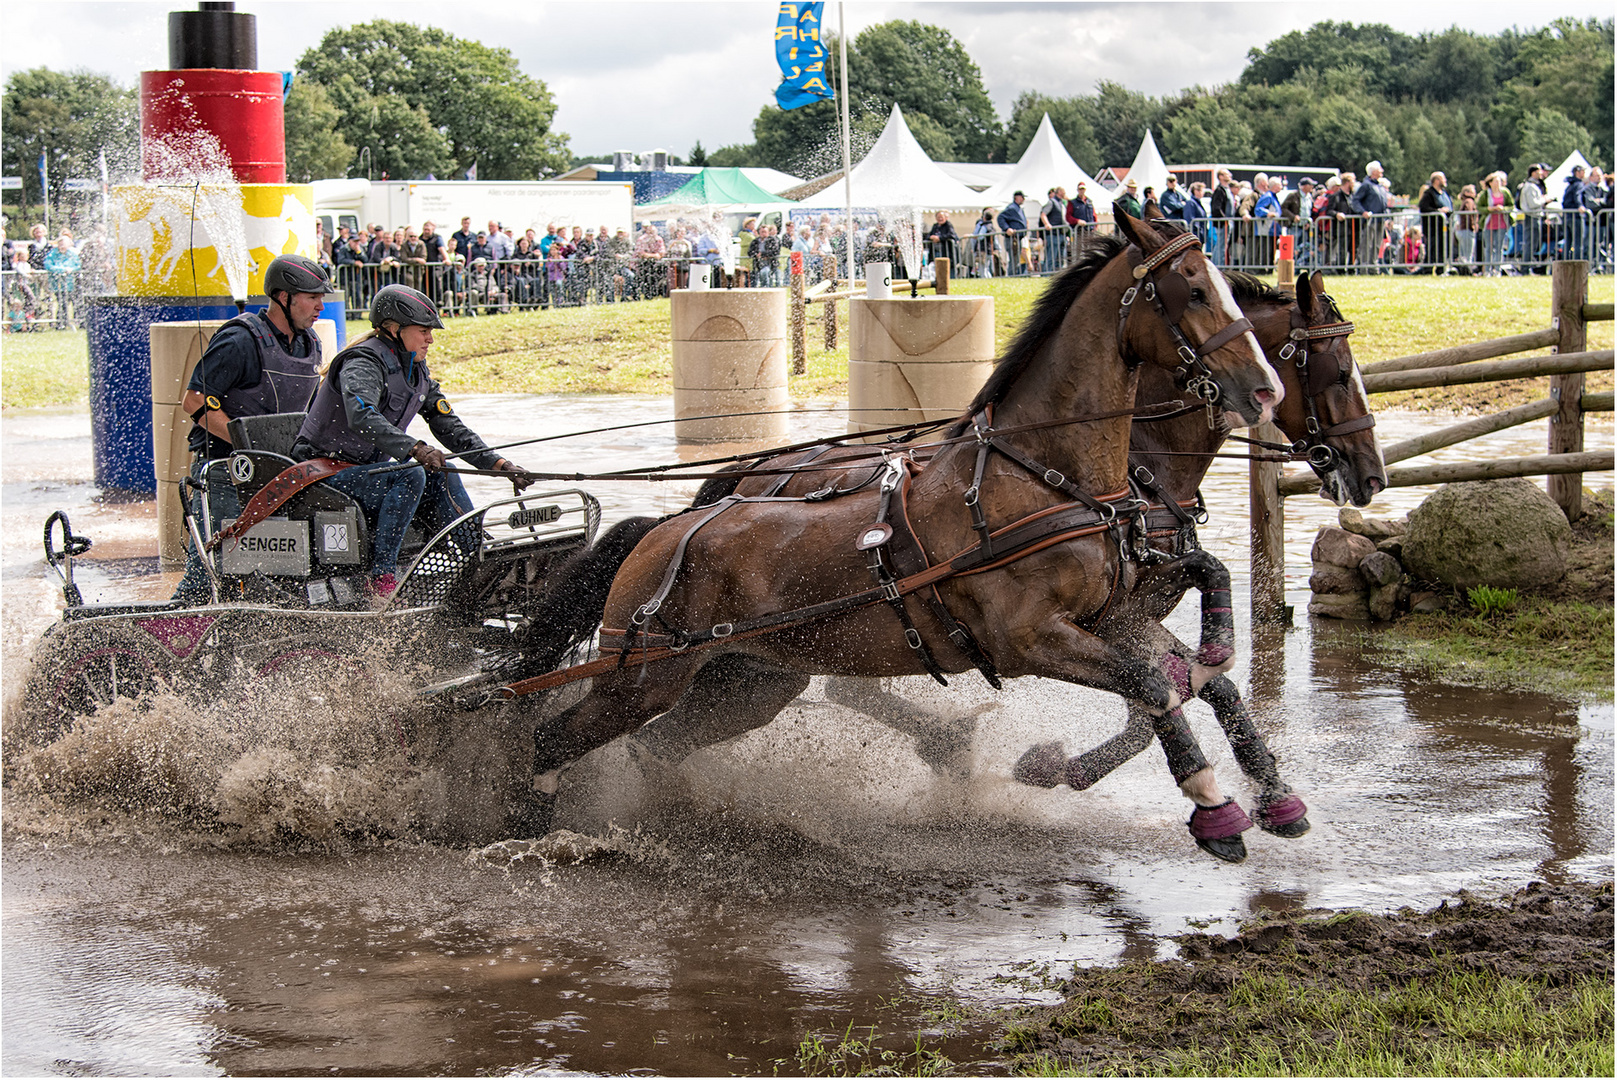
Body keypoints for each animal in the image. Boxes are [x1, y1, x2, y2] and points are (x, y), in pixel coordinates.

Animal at [510, 210, 1280, 853]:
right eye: (1192, 291)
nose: (1263, 389)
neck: (1042, 474)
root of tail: (666, 530)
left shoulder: (1112, 613)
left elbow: (1184, 669)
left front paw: (1262, 776)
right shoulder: (1030, 638)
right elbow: (1152, 684)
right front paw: (1214, 807)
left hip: (747, 680)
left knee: (657, 745)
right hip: (642, 681)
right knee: (548, 740)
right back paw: (527, 824)